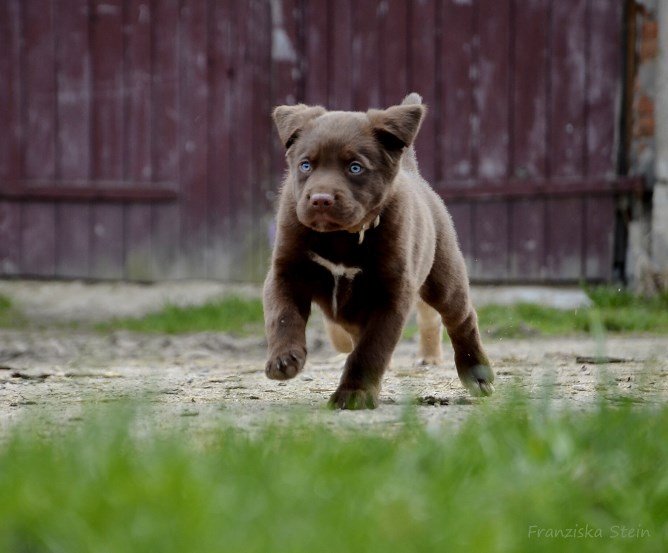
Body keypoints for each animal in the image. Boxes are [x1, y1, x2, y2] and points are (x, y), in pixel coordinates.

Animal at [264, 92, 494, 408]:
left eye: (355, 167)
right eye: (305, 165)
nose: (320, 199)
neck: (340, 238)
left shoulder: (391, 295)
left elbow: (371, 349)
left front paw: (354, 394)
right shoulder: (286, 272)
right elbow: (283, 315)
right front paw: (284, 358)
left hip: (444, 278)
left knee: (462, 318)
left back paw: (477, 373)